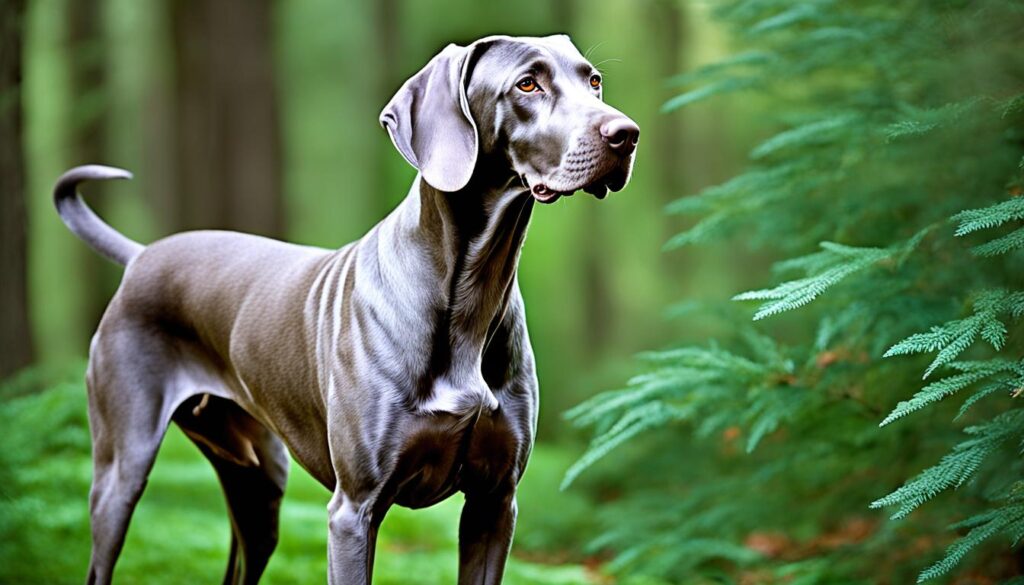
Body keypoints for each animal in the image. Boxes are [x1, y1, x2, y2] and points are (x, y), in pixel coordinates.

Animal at [56, 34, 634, 581]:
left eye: (594, 81)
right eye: (527, 85)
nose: (626, 134)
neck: (471, 291)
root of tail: (141, 255)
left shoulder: (494, 504)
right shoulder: (355, 510)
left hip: (258, 483)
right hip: (122, 467)